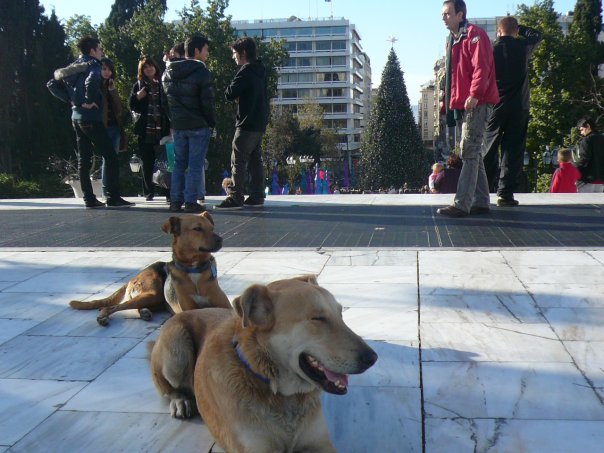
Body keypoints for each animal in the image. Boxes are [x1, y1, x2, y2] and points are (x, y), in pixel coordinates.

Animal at [69, 212, 230, 324]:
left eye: (212, 228)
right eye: (197, 229)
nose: (221, 239)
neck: (194, 268)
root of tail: (134, 277)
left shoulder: (226, 306)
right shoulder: (189, 310)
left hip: (153, 298)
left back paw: (144, 312)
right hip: (152, 292)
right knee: (111, 307)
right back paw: (103, 317)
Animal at [150, 274, 378, 450]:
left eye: (341, 315)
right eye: (318, 318)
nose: (372, 358)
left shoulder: (319, 443)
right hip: (176, 350)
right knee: (165, 385)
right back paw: (180, 400)